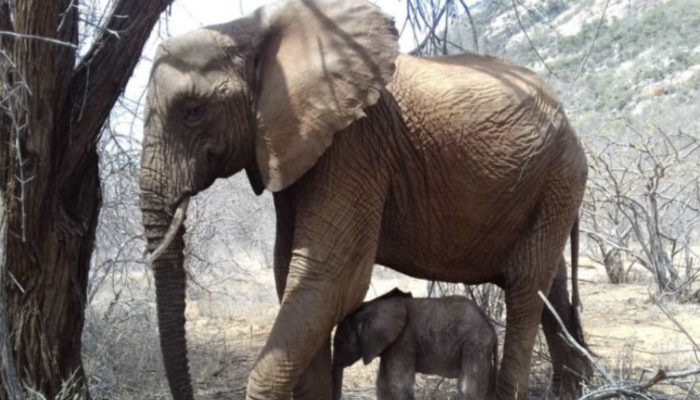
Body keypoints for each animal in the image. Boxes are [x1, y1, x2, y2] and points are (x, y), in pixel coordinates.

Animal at [332, 288, 498, 400]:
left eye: (340, 342)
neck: (372, 305)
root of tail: (488, 322)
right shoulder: (391, 345)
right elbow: (383, 385)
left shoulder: (403, 341)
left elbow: (398, 385)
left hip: (475, 344)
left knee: (468, 388)